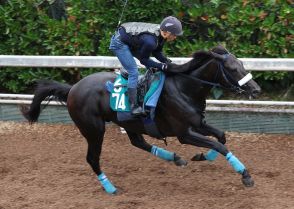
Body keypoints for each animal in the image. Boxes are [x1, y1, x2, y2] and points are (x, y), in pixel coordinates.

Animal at [22, 45, 262, 194]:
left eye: (242, 64)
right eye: (232, 68)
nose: (256, 90)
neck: (185, 88)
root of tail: (73, 89)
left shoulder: (198, 124)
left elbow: (221, 137)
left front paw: (202, 156)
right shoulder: (184, 134)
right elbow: (218, 144)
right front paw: (245, 175)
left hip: (128, 122)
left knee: (138, 142)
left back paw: (176, 158)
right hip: (93, 130)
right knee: (92, 158)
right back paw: (110, 188)